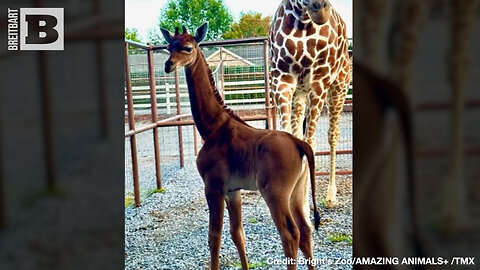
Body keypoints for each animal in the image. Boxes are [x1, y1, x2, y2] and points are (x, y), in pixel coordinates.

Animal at [161, 23, 322, 270]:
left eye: (188, 47)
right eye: (169, 46)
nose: (168, 65)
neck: (212, 127)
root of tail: (299, 142)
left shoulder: (213, 187)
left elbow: (214, 236)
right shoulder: (233, 191)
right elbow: (238, 233)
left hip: (275, 193)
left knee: (290, 234)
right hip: (298, 190)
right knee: (305, 231)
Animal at [270, 0, 352, 208]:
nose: (320, 9)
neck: (303, 21)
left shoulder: (320, 80)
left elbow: (311, 144)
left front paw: (305, 207)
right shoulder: (281, 79)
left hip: (339, 87)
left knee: (333, 134)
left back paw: (331, 195)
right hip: (300, 93)